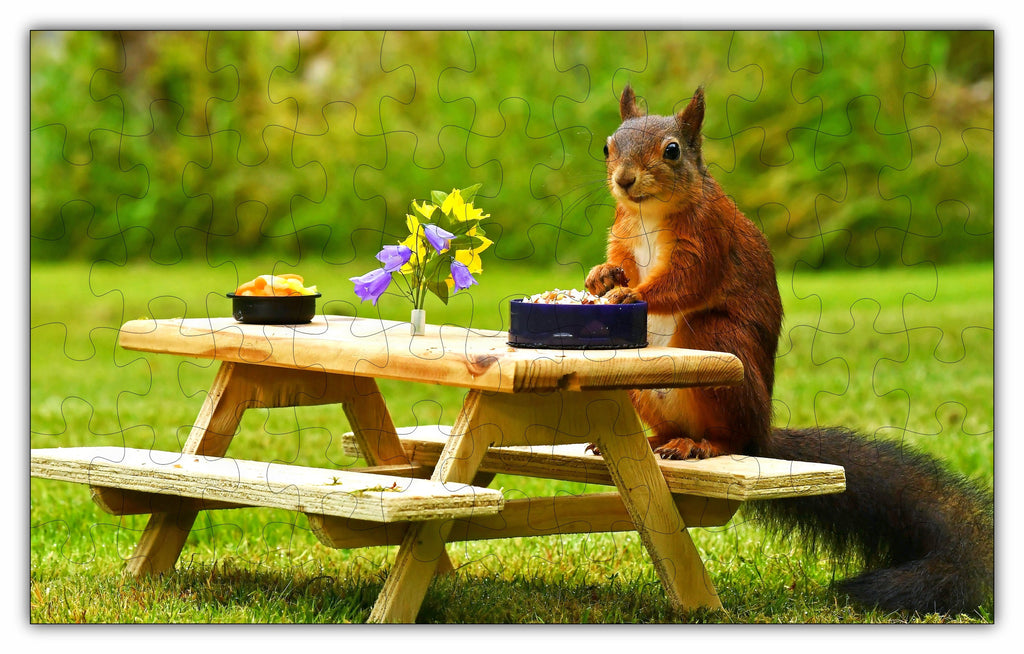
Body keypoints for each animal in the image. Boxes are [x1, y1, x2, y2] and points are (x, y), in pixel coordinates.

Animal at [584, 84, 994, 616]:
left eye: (671, 151)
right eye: (608, 146)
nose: (625, 180)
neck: (648, 213)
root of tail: (763, 435)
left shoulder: (709, 238)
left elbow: (683, 283)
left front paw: (633, 293)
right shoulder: (625, 232)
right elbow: (620, 260)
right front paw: (601, 276)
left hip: (719, 347)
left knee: (729, 436)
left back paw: (703, 445)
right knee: (669, 429)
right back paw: (657, 441)